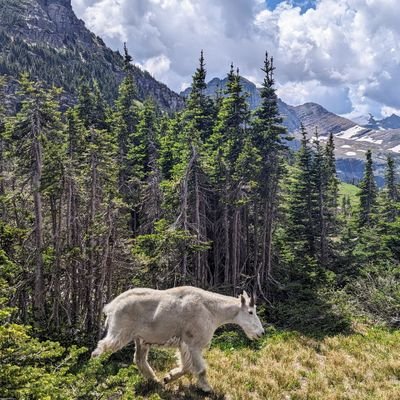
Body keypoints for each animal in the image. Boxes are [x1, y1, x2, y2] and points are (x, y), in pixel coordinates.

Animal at [92, 286, 264, 392]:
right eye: (250, 312)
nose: (261, 333)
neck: (212, 310)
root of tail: (111, 306)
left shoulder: (184, 345)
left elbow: (186, 367)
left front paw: (168, 377)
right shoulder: (193, 344)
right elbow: (200, 369)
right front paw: (207, 388)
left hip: (141, 339)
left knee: (139, 359)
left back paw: (155, 380)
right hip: (120, 333)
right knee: (100, 349)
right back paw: (93, 374)